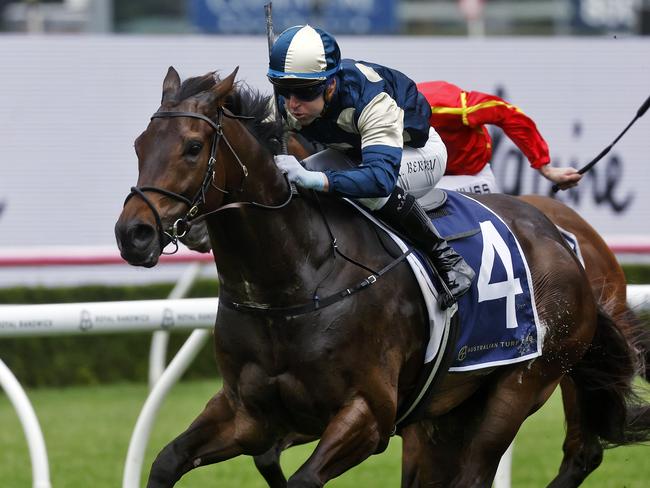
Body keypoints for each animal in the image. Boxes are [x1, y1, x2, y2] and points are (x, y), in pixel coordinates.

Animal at [114, 66, 644, 486]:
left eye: (193, 146)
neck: (293, 283)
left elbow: (302, 477)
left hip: (523, 384)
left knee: (519, 462)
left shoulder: (368, 416)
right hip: (449, 408)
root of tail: (560, 241)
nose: (133, 234)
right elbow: (168, 461)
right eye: (139, 145)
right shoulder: (248, 414)